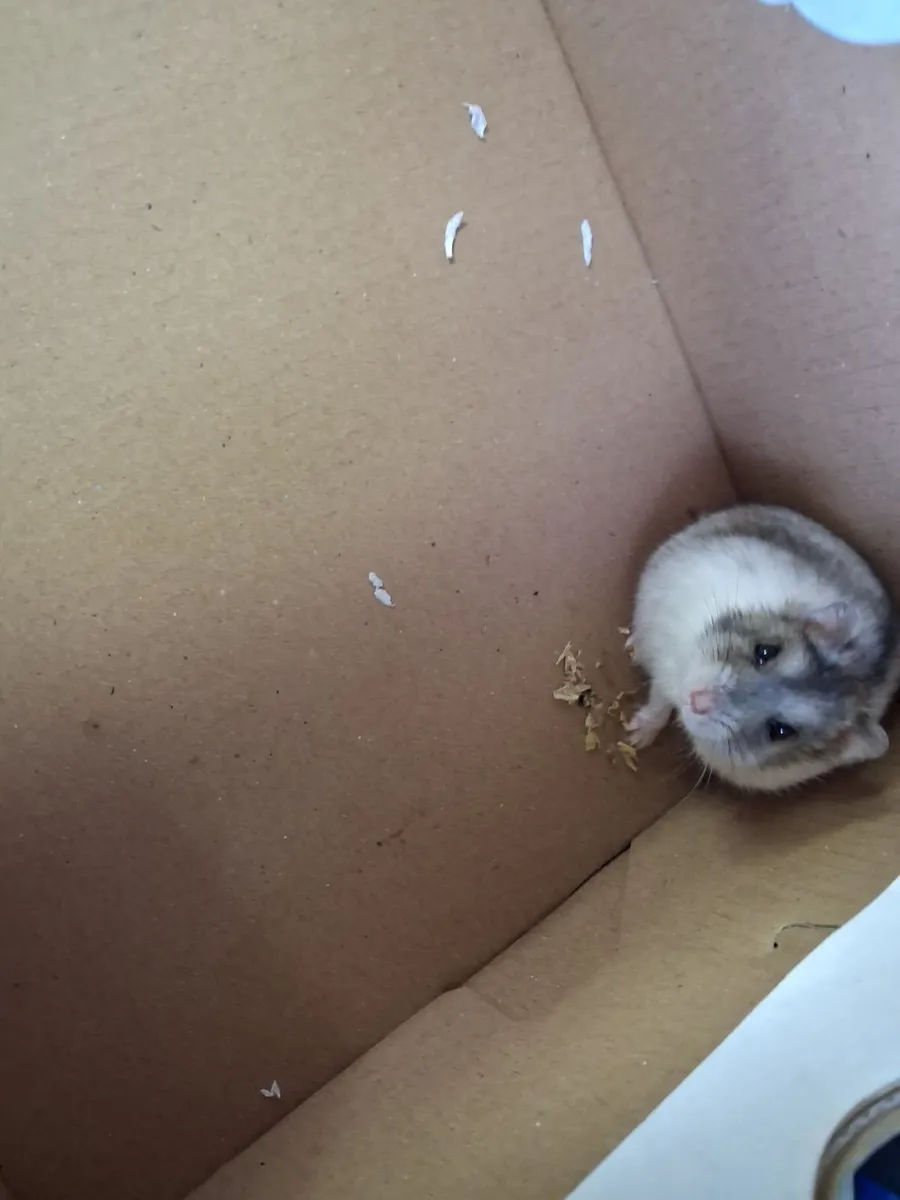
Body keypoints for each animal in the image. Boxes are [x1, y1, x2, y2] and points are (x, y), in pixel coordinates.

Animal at [625, 504, 900, 791]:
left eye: (780, 731)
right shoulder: (666, 661)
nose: (696, 700)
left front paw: (635, 737)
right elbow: (658, 700)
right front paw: (635, 737)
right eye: (765, 651)